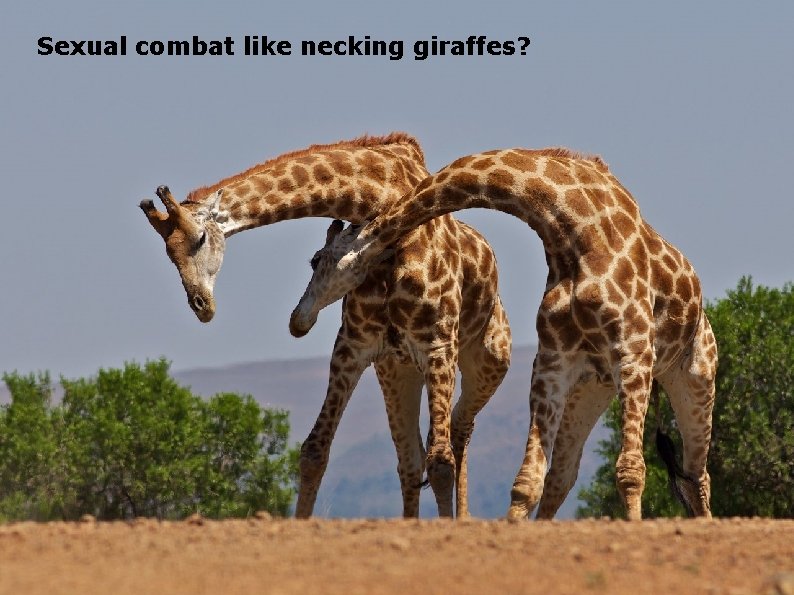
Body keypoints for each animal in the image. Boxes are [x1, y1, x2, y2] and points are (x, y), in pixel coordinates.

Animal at [138, 133, 511, 518]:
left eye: (199, 239)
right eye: (168, 253)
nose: (201, 305)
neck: (380, 201)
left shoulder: (437, 344)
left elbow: (441, 464)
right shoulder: (354, 346)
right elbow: (314, 451)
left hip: (485, 363)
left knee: (457, 434)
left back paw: (463, 516)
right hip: (397, 371)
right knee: (411, 459)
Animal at [294, 147, 718, 521]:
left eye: (316, 260)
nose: (299, 320)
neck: (573, 230)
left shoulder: (633, 354)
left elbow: (630, 471)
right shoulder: (554, 362)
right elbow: (527, 481)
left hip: (695, 379)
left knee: (697, 475)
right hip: (593, 387)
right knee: (563, 476)